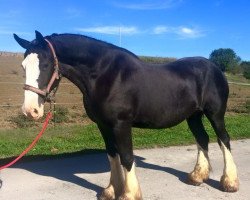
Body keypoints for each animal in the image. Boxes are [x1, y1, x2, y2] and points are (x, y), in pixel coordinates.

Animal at [13, 31, 238, 200]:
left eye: (45, 65)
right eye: (23, 66)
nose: (30, 110)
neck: (105, 75)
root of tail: (214, 68)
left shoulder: (121, 124)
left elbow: (127, 157)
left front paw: (129, 194)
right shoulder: (103, 125)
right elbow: (113, 156)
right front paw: (111, 191)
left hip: (215, 114)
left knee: (223, 140)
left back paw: (229, 183)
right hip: (193, 116)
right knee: (202, 139)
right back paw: (197, 177)